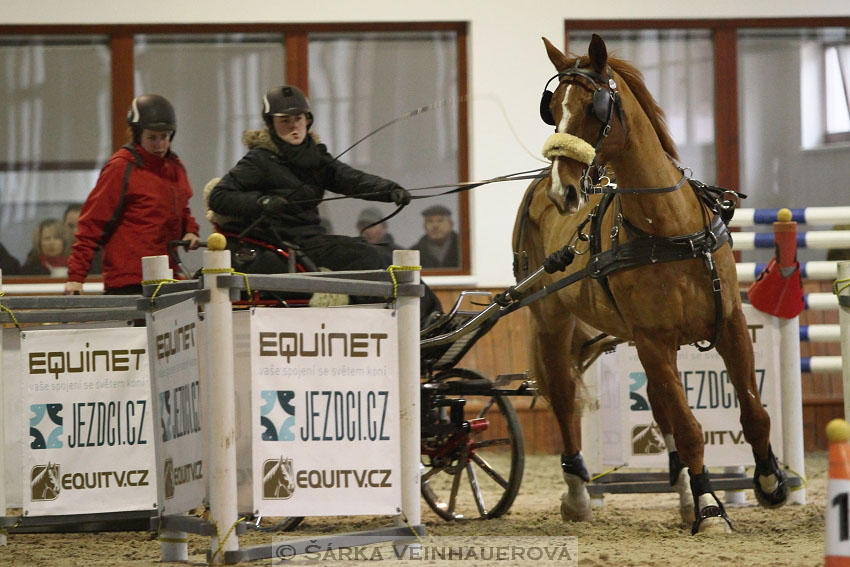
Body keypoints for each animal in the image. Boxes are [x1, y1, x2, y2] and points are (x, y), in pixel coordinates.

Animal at [510, 34, 788, 532]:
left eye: (594, 106)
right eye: (553, 107)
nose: (565, 191)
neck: (670, 230)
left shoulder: (731, 325)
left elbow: (753, 412)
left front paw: (770, 481)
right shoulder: (653, 340)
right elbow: (690, 427)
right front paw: (710, 507)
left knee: (660, 407)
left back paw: (683, 490)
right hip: (552, 321)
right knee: (564, 396)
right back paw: (579, 493)